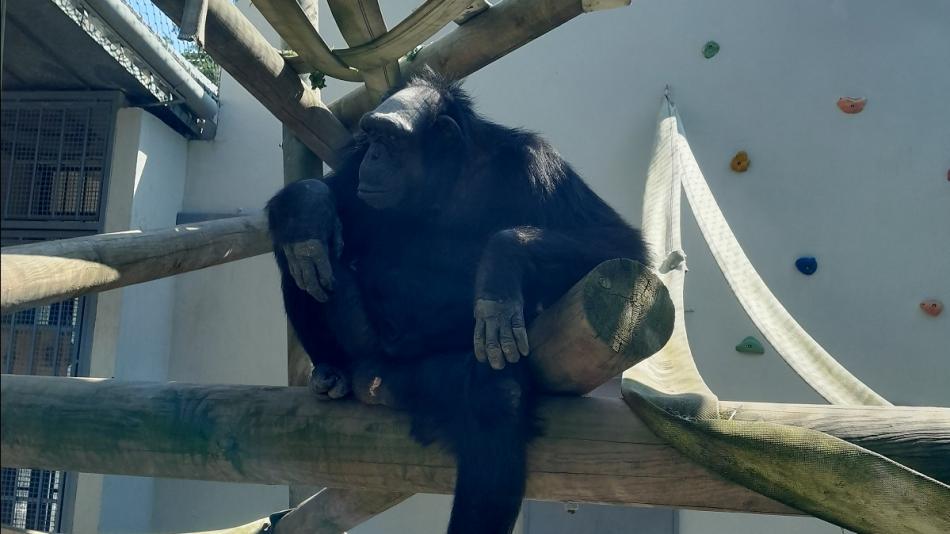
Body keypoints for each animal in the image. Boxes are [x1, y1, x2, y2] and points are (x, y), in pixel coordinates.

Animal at [272, 71, 652, 534]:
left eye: (390, 139)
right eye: (371, 135)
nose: (374, 155)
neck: (445, 179)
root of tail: (374, 379)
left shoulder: (538, 163)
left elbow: (617, 244)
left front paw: (502, 264)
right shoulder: (354, 169)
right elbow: (320, 198)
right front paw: (310, 205)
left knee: (495, 395)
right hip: (364, 348)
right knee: (302, 253)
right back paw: (331, 366)